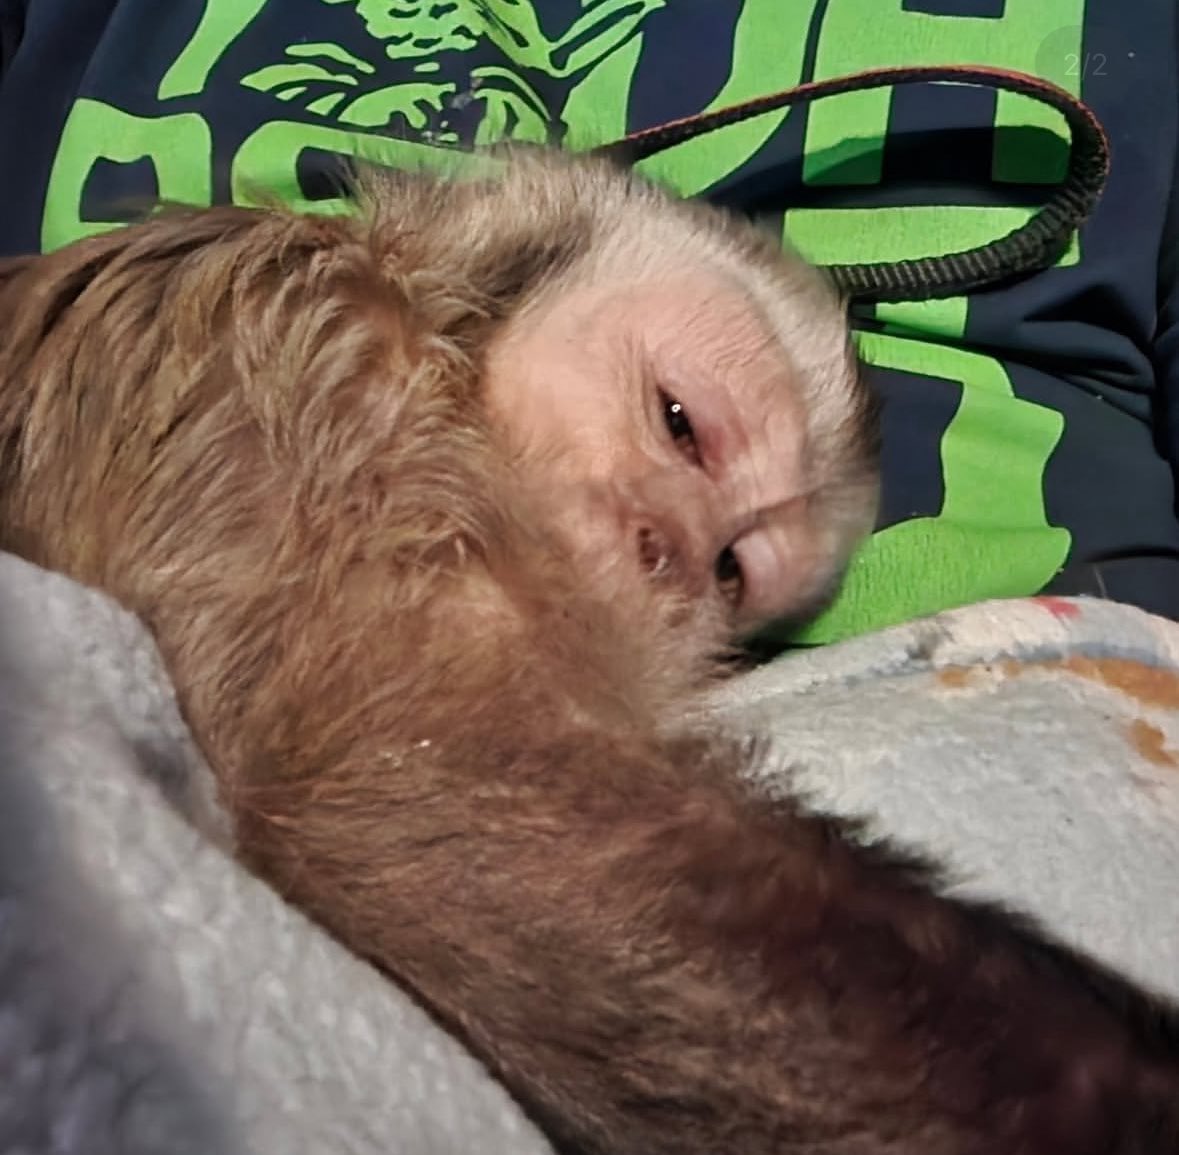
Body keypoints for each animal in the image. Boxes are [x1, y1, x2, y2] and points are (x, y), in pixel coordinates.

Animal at [0, 148, 1176, 1155]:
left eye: (728, 569)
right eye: (678, 424)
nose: (661, 549)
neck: (436, 338)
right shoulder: (295, 373)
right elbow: (396, 788)